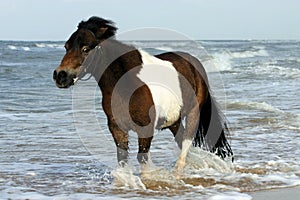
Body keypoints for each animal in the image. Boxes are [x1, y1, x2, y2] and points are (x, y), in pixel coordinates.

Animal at [52, 16, 233, 173]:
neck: (126, 84)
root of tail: (196, 63)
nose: (60, 75)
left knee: (186, 145)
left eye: (86, 49)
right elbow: (123, 160)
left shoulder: (145, 128)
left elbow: (142, 159)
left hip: (194, 113)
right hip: (174, 121)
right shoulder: (117, 128)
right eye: (66, 46)